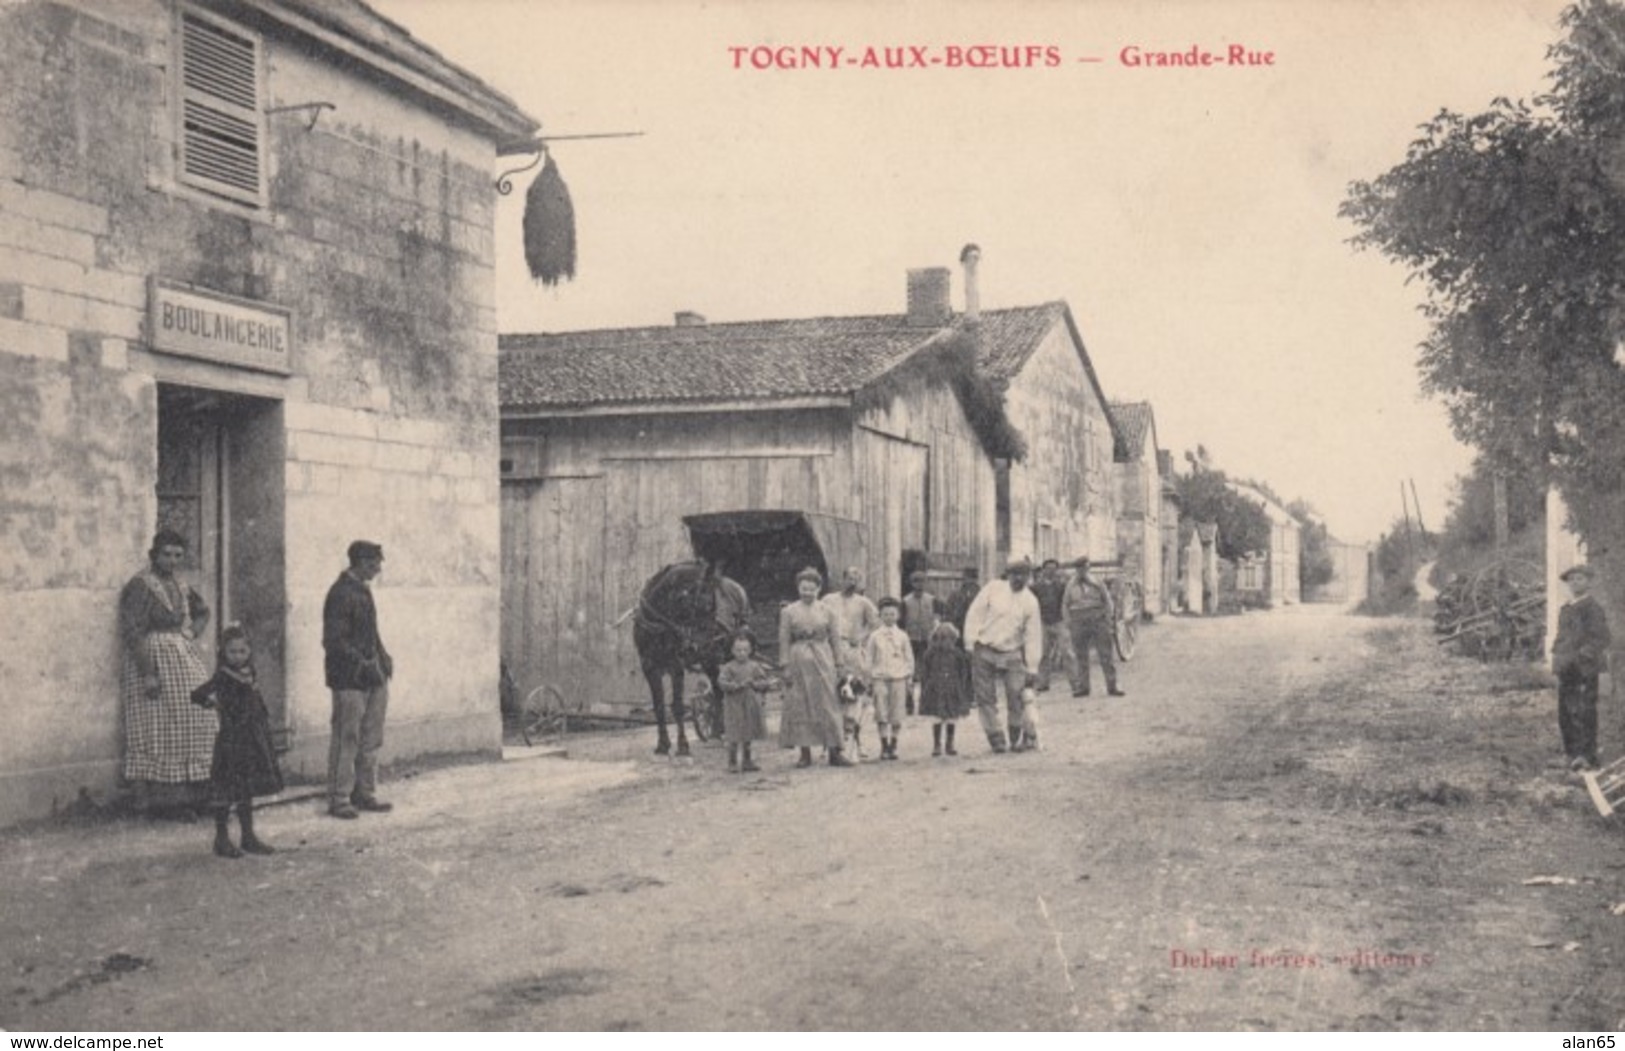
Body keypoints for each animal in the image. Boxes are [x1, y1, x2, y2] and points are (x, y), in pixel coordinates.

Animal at [630, 558, 744, 756]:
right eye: (705, 605)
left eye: (715, 606)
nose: (705, 644)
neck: (660, 624)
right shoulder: (649, 667)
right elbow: (659, 706)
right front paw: (662, 745)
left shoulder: (676, 667)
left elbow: (677, 707)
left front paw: (682, 746)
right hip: (710, 662)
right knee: (717, 690)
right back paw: (716, 731)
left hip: (729, 653)